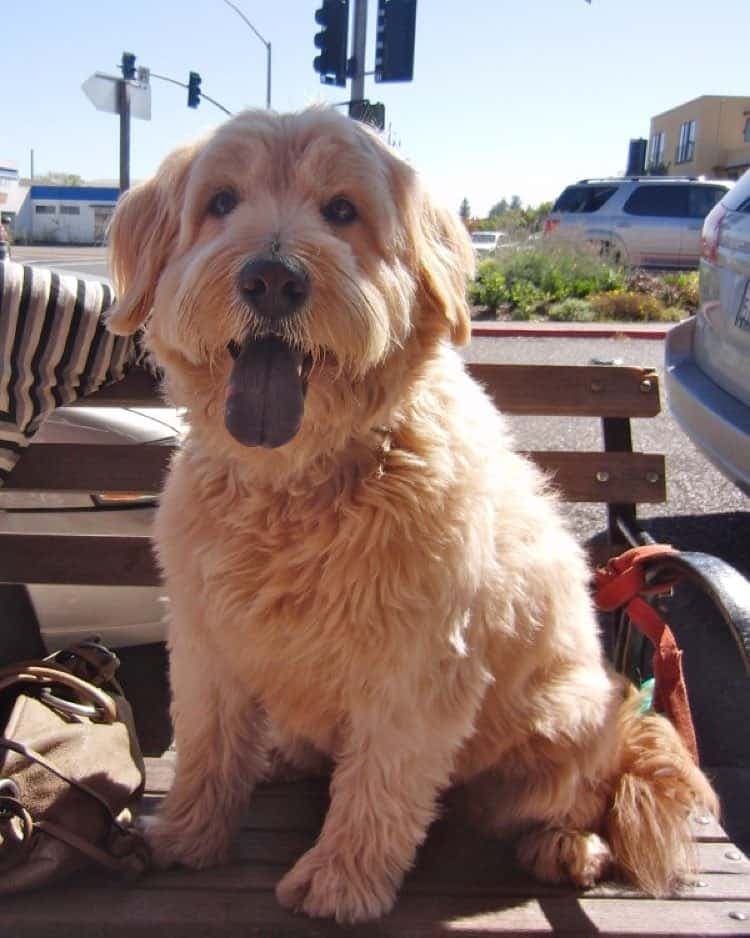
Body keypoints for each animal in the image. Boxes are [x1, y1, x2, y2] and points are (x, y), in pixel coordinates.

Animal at [104, 108, 716, 920]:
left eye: (342, 209)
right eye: (221, 201)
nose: (273, 278)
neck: (296, 487)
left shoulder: (416, 665)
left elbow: (380, 783)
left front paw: (340, 880)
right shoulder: (207, 638)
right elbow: (208, 747)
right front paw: (187, 836)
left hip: (567, 716)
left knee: (585, 796)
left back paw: (567, 846)